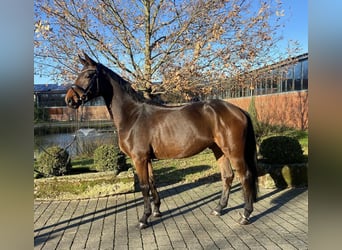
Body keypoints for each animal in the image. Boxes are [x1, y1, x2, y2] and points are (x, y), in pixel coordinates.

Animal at [65, 52, 256, 229]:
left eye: (89, 74)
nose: (69, 99)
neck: (133, 116)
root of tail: (238, 110)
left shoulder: (139, 159)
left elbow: (143, 186)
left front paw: (144, 219)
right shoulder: (147, 159)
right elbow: (152, 182)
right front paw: (156, 211)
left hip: (234, 151)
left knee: (245, 176)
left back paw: (245, 215)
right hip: (218, 150)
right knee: (227, 176)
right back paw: (218, 208)